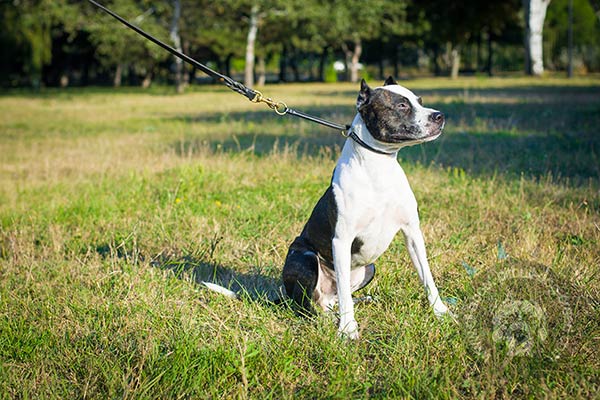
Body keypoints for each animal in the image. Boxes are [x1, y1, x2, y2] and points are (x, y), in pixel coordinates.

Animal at [282, 77, 450, 338]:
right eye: (402, 105)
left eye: (419, 101)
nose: (439, 116)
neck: (379, 166)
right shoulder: (341, 240)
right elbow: (344, 295)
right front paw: (348, 329)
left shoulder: (413, 233)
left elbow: (427, 276)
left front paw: (440, 311)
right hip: (305, 258)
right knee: (308, 304)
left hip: (369, 268)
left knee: (334, 299)